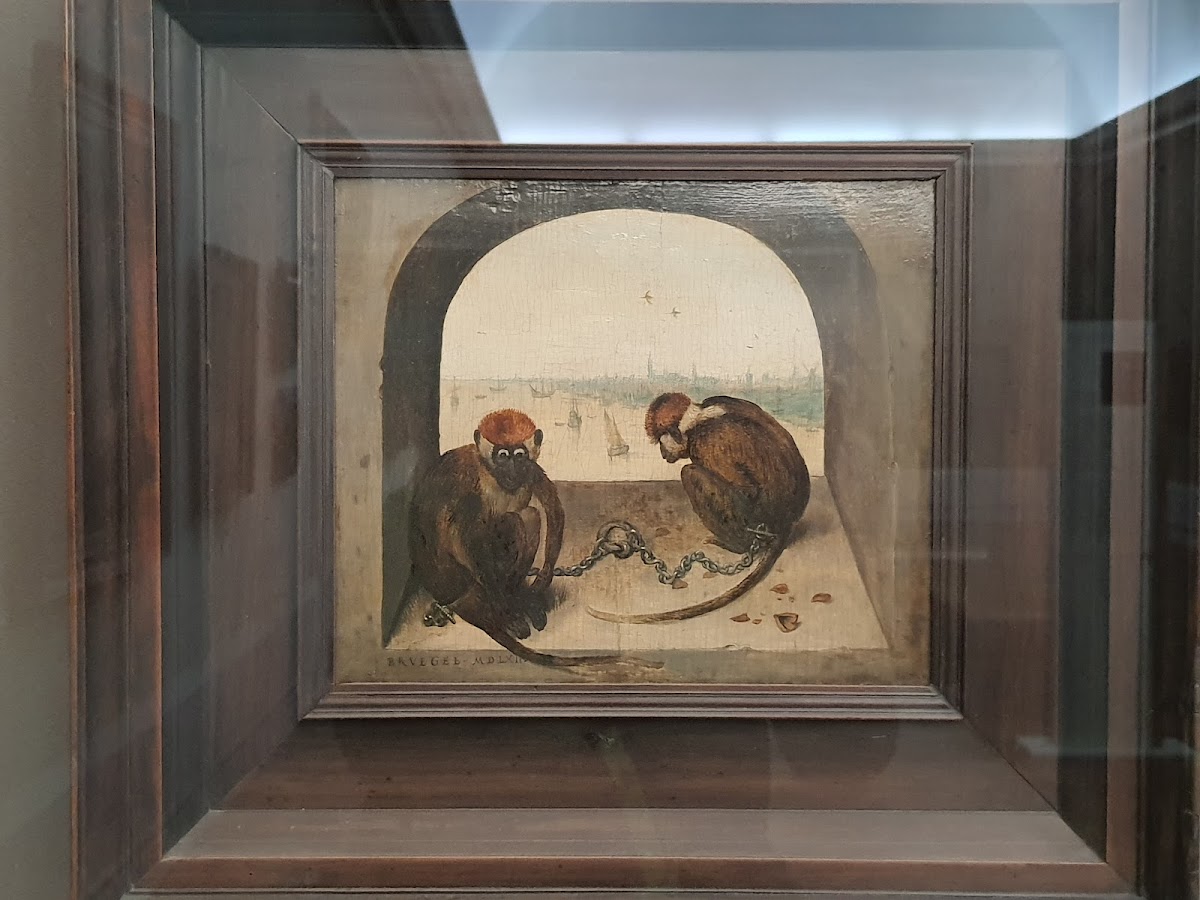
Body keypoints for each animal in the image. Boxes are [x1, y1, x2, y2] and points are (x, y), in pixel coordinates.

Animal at [407, 408, 649, 669]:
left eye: (519, 456)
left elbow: (553, 508)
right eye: (502, 456)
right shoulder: (467, 481)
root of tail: (453, 595)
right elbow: (469, 538)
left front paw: (542, 579)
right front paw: (506, 610)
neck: (491, 474)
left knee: (530, 516)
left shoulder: (531, 468)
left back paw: (520, 597)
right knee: (512, 521)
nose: (512, 470)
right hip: (462, 579)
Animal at [587, 393, 810, 624]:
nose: (662, 452)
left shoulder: (704, 445)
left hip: (756, 524)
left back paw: (735, 545)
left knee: (691, 474)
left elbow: (746, 490)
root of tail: (785, 523)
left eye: (661, 442)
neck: (698, 420)